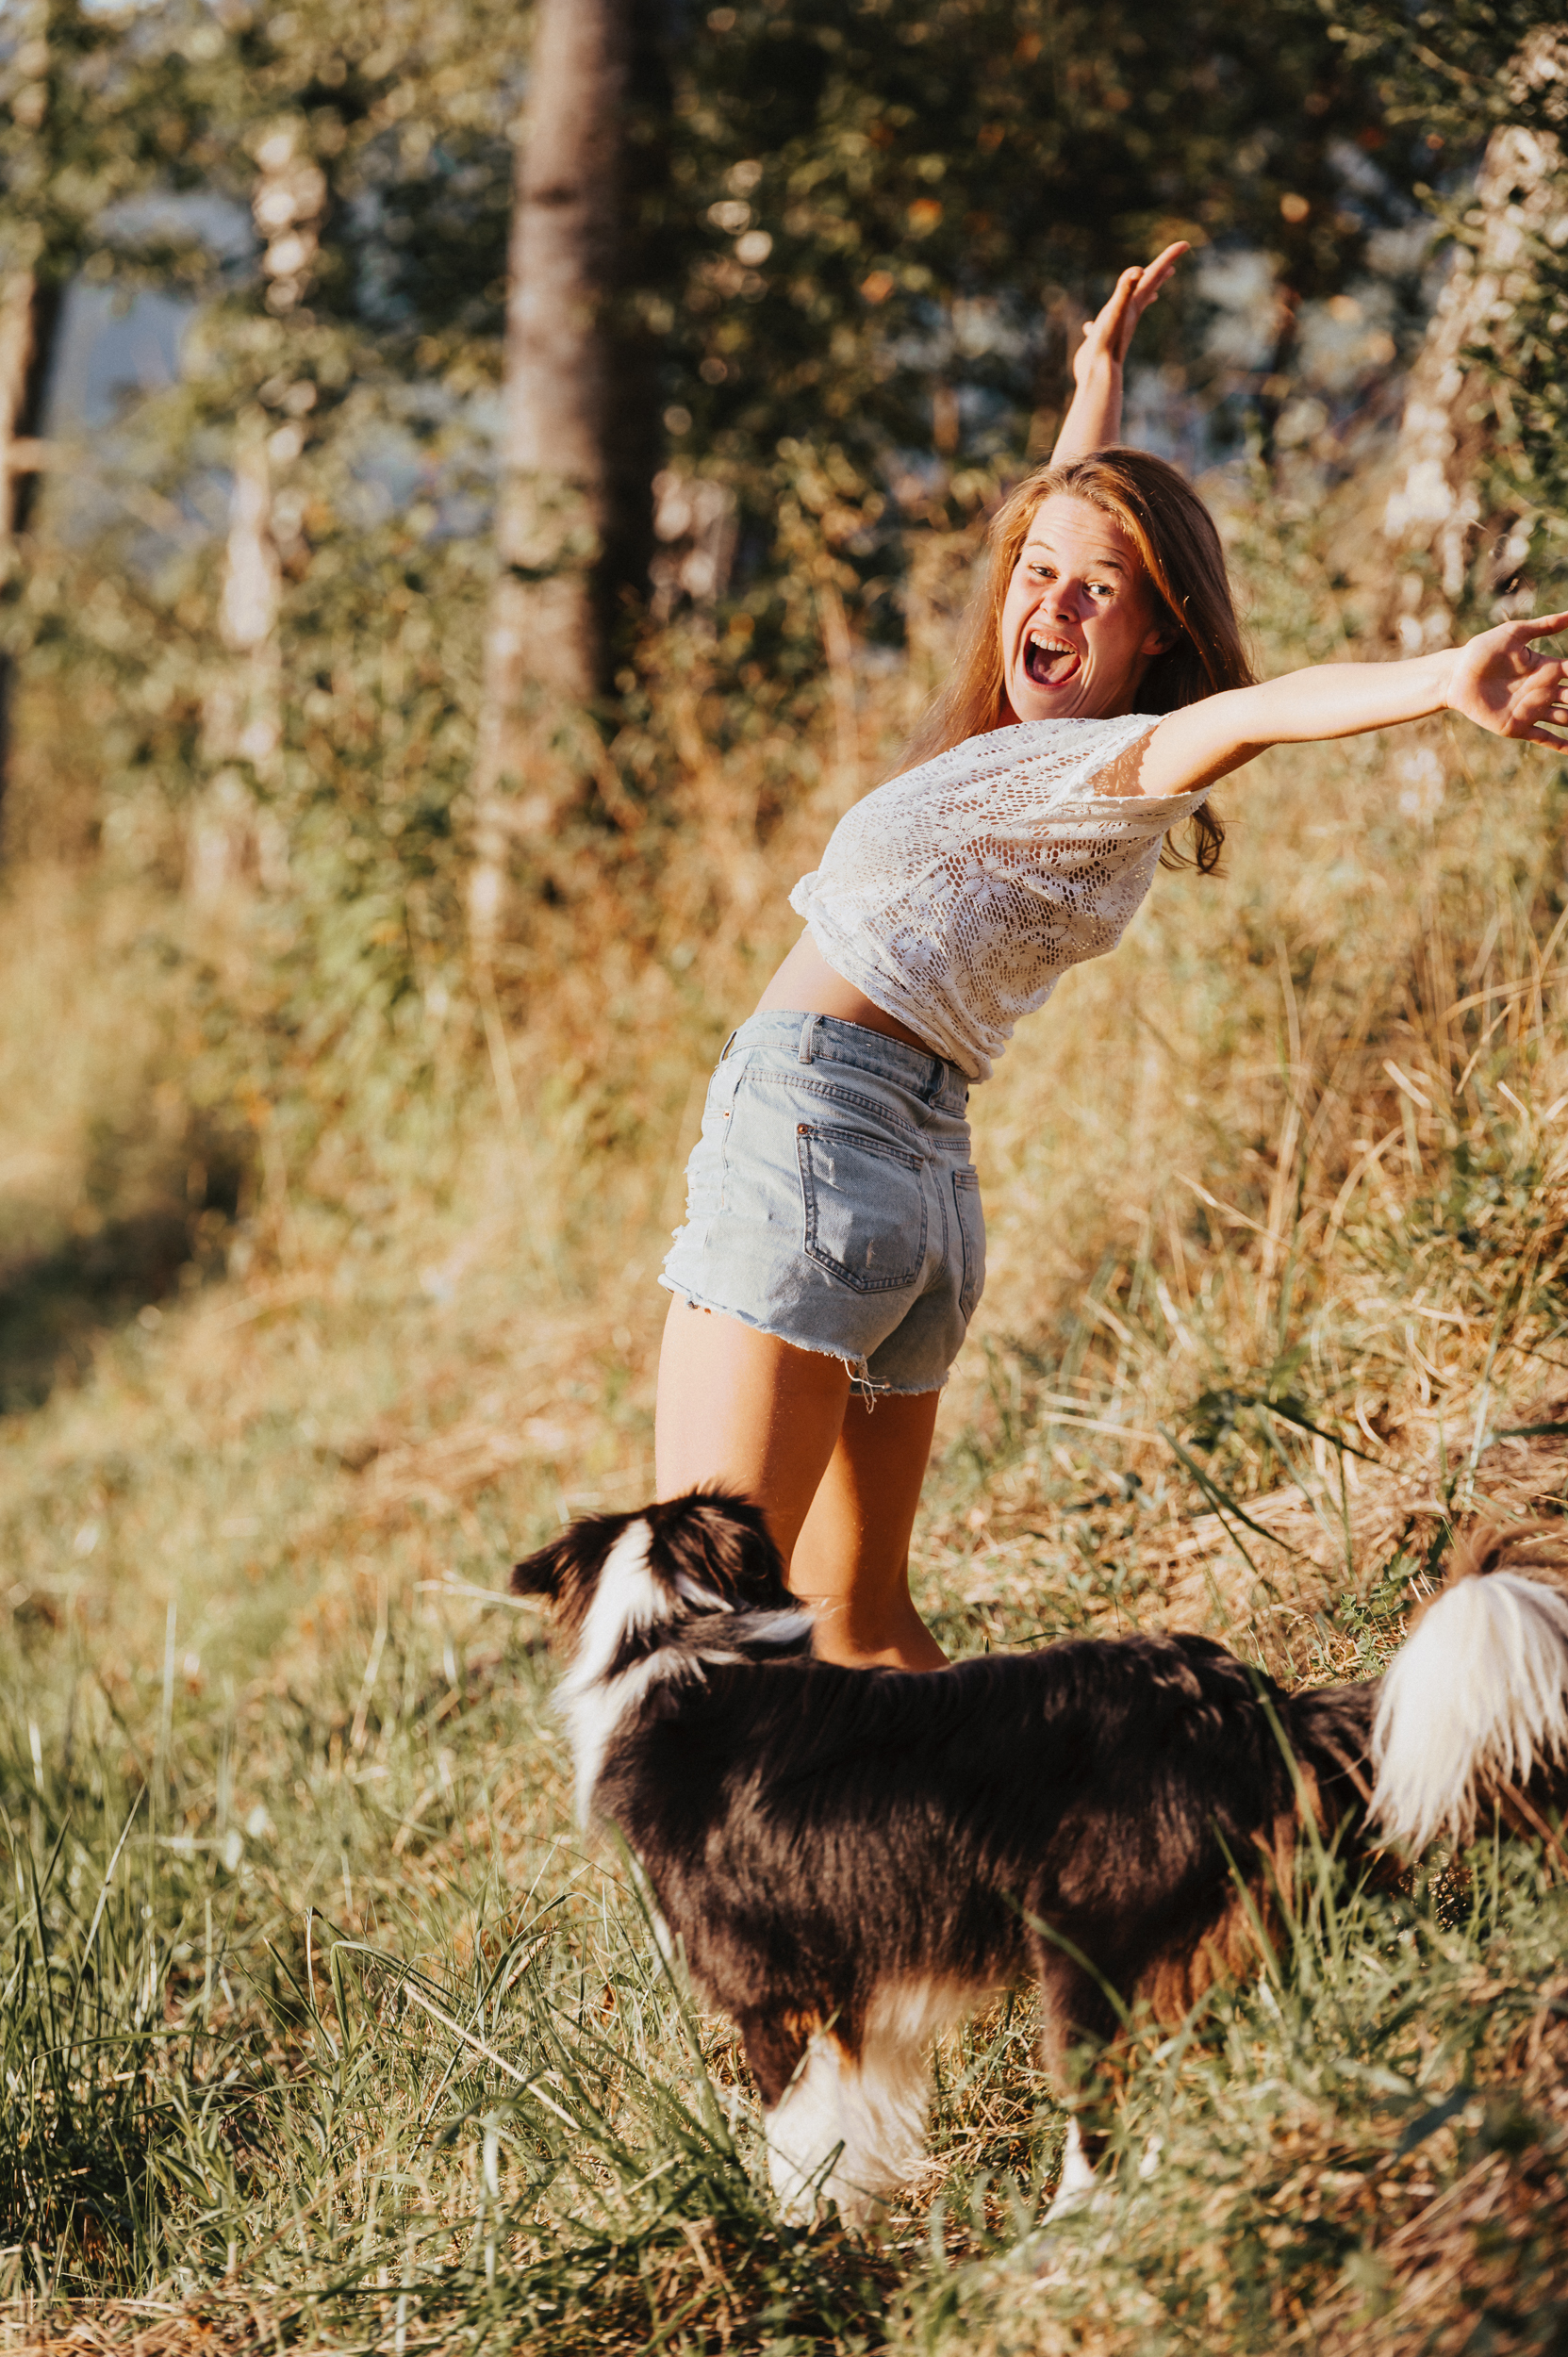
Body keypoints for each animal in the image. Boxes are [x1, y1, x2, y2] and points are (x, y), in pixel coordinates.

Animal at [511, 1490, 1565, 2225]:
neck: (667, 1646)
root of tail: (1248, 1700)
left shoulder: (777, 1999)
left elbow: (798, 2142)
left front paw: (807, 2237)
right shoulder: (862, 2006)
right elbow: (861, 2125)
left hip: (1087, 1959)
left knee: (1102, 2120)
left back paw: (1067, 2232)